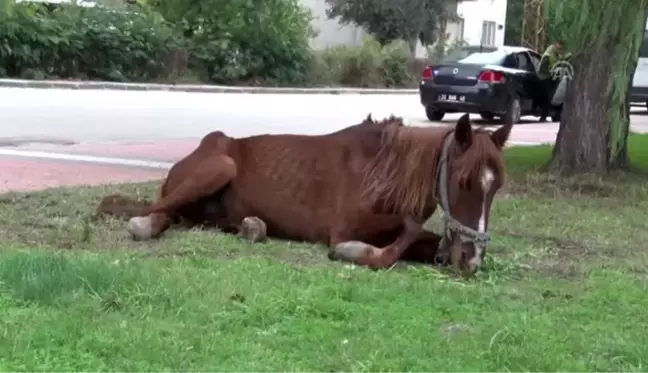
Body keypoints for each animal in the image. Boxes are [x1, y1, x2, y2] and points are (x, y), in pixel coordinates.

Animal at [97, 112, 512, 274]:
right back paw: (145, 224)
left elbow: (416, 242)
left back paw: (252, 227)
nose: (471, 260)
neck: (383, 171)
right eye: (464, 182)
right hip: (220, 164)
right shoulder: (343, 229)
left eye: (497, 187)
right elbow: (383, 252)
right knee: (153, 210)